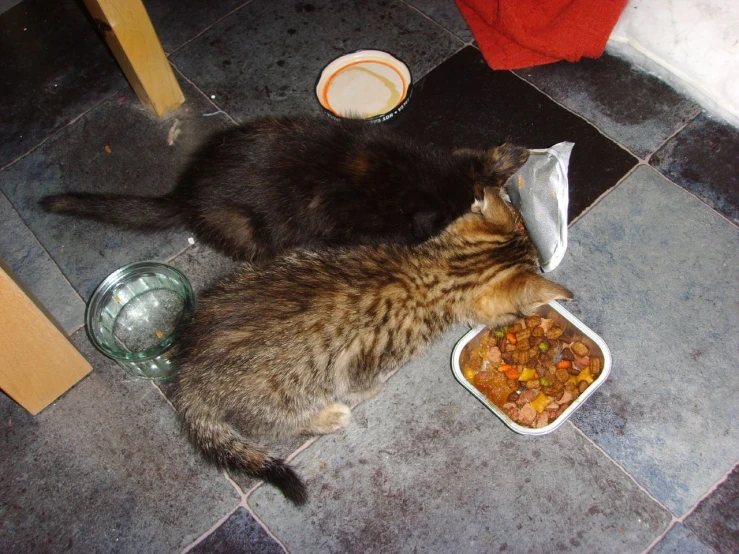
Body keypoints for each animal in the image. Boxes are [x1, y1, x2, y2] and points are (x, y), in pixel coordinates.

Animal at [175, 188, 572, 502]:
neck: (438, 272)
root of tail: (188, 374)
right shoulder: (364, 364)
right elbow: (362, 385)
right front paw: (366, 394)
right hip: (280, 398)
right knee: (274, 425)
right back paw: (329, 416)